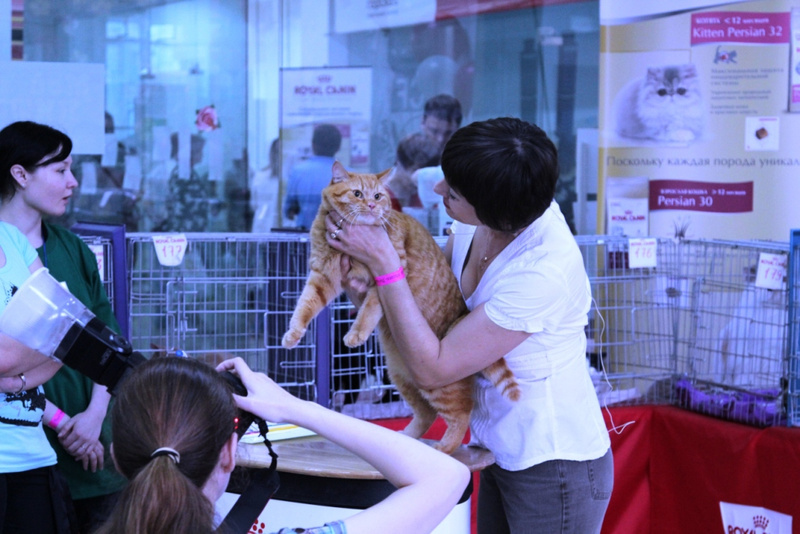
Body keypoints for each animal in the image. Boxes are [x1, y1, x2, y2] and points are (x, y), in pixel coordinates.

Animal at [282, 161, 520, 454]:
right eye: (357, 194)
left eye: (378, 195)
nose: (372, 206)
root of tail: (462, 315)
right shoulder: (322, 276)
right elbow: (305, 306)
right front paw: (293, 334)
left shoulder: (386, 275)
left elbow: (368, 312)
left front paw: (356, 335)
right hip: (401, 376)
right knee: (427, 413)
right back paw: (406, 440)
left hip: (438, 384)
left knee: (462, 413)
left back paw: (443, 448)